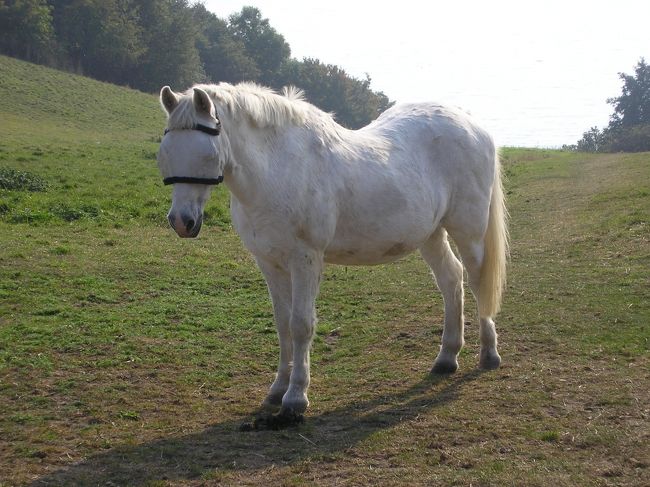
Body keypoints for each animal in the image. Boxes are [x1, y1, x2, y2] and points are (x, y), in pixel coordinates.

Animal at [156, 82, 508, 418]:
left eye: (206, 153)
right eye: (166, 152)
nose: (182, 222)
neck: (279, 170)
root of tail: (472, 124)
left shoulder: (305, 260)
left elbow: (301, 325)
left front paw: (295, 398)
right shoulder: (269, 262)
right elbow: (282, 325)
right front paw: (277, 389)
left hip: (468, 231)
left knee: (477, 283)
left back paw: (489, 354)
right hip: (431, 234)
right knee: (451, 279)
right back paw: (447, 357)